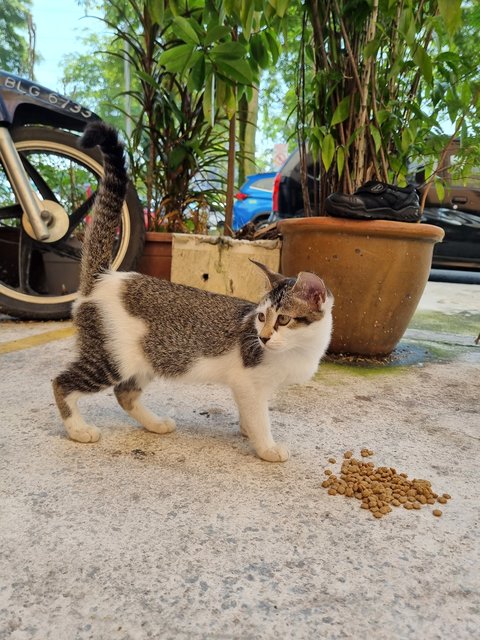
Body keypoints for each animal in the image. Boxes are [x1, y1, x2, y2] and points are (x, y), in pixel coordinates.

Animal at [50, 121, 332, 460]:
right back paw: (78, 429)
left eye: (284, 319)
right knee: (62, 382)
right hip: (110, 357)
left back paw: (155, 424)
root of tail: (103, 277)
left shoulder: (245, 386)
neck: (301, 349)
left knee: (124, 393)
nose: (263, 338)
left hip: (147, 357)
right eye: (263, 317)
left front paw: (247, 431)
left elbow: (248, 414)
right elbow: (259, 416)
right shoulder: (249, 384)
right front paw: (266, 447)